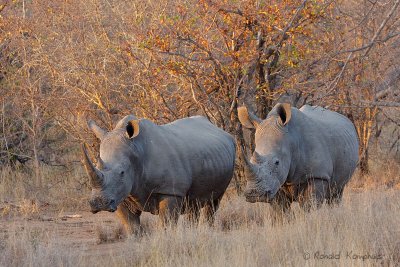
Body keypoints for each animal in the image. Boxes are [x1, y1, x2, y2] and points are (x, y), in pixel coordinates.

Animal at [82, 115, 236, 234]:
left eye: (122, 172)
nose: (99, 203)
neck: (137, 152)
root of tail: (219, 129)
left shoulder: (170, 191)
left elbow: (166, 223)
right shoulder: (120, 194)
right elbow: (131, 227)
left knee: (213, 201)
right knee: (194, 204)